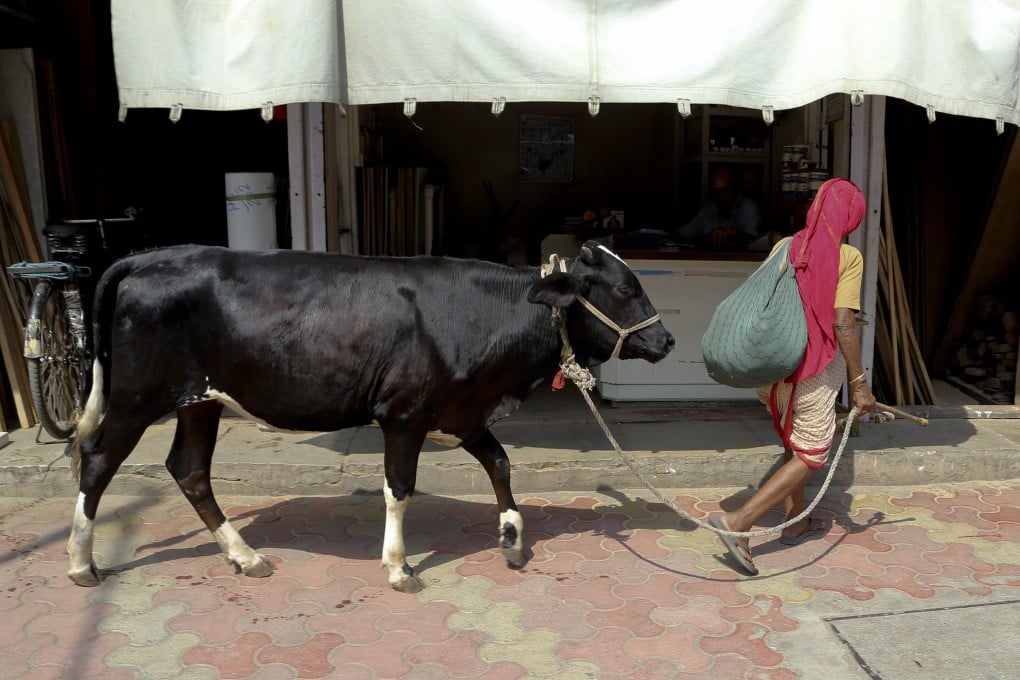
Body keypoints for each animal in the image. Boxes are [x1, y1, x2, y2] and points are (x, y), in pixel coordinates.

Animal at [67, 241, 674, 592]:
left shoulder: (461, 412)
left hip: (202, 400)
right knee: (96, 458)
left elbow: (500, 464)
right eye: (626, 288)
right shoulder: (404, 413)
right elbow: (399, 488)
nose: (667, 340)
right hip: (138, 395)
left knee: (189, 470)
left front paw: (512, 537)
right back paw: (80, 563)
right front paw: (399, 566)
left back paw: (246, 556)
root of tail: (151, 256)